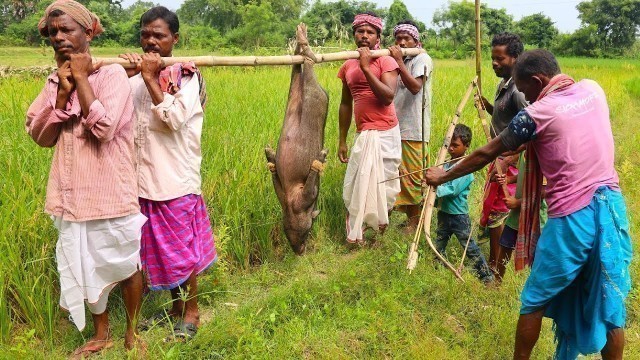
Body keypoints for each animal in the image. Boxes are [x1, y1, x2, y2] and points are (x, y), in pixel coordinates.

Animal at [264, 23, 328, 255]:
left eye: (308, 232)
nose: (300, 251)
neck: (291, 207)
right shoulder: (287, 196)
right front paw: (269, 155)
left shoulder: (300, 197)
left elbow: (311, 181)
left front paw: (321, 156)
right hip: (301, 92)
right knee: (301, 68)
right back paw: (301, 43)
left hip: (310, 94)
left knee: (305, 67)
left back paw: (302, 42)